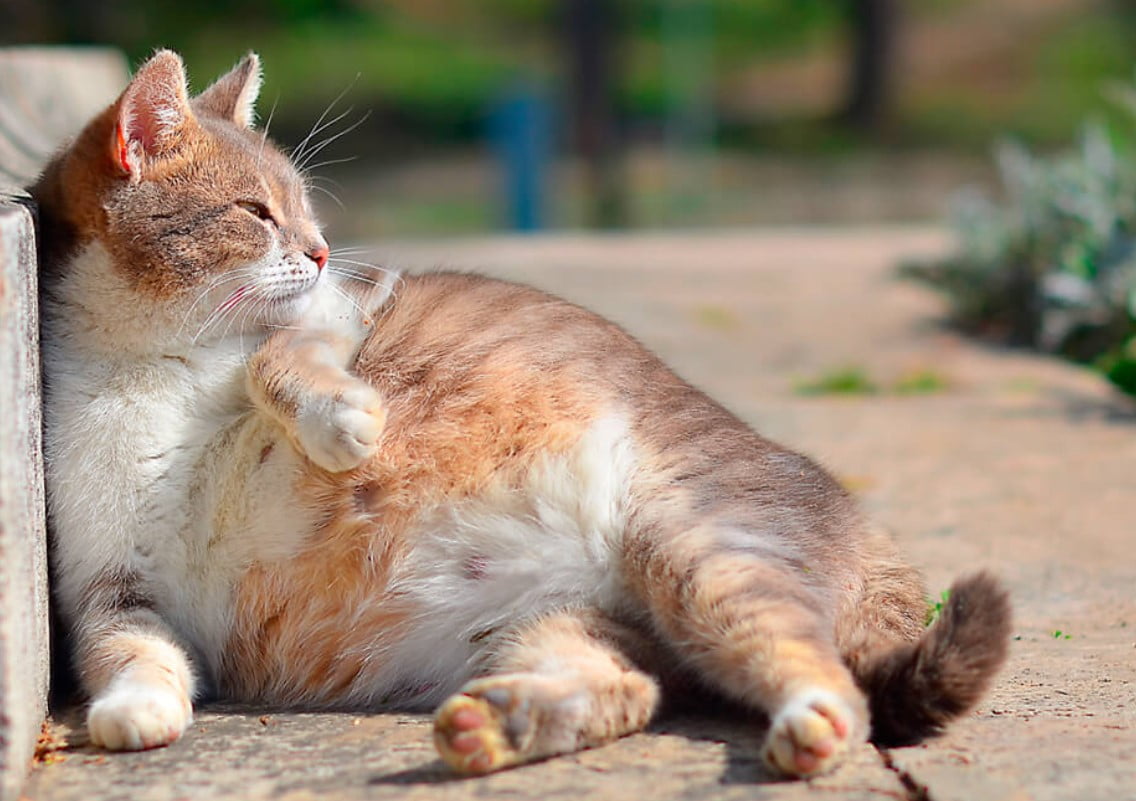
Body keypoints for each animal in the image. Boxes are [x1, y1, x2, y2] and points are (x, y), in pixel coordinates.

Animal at [33, 49, 1013, 772]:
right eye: (254, 210)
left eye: (307, 210)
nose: (320, 250)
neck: (149, 366)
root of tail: (871, 533)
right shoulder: (112, 590)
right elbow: (135, 656)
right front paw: (134, 712)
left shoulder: (341, 314)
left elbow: (281, 359)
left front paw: (346, 426)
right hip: (556, 626)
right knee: (633, 688)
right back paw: (495, 725)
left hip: (702, 551)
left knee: (830, 682)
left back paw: (810, 727)